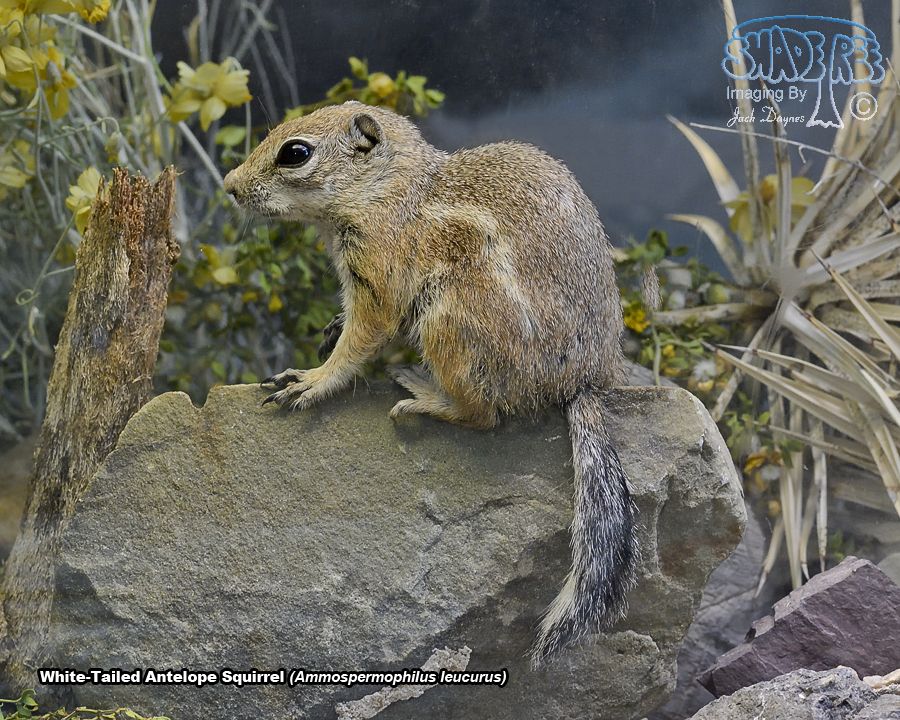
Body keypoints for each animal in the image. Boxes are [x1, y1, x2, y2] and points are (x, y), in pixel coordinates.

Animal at [223, 101, 654, 665]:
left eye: (294, 152)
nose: (228, 185)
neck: (388, 190)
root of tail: (585, 385)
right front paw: (330, 330)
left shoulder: (378, 276)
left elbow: (361, 341)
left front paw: (312, 380)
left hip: (449, 318)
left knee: (484, 414)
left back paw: (421, 395)